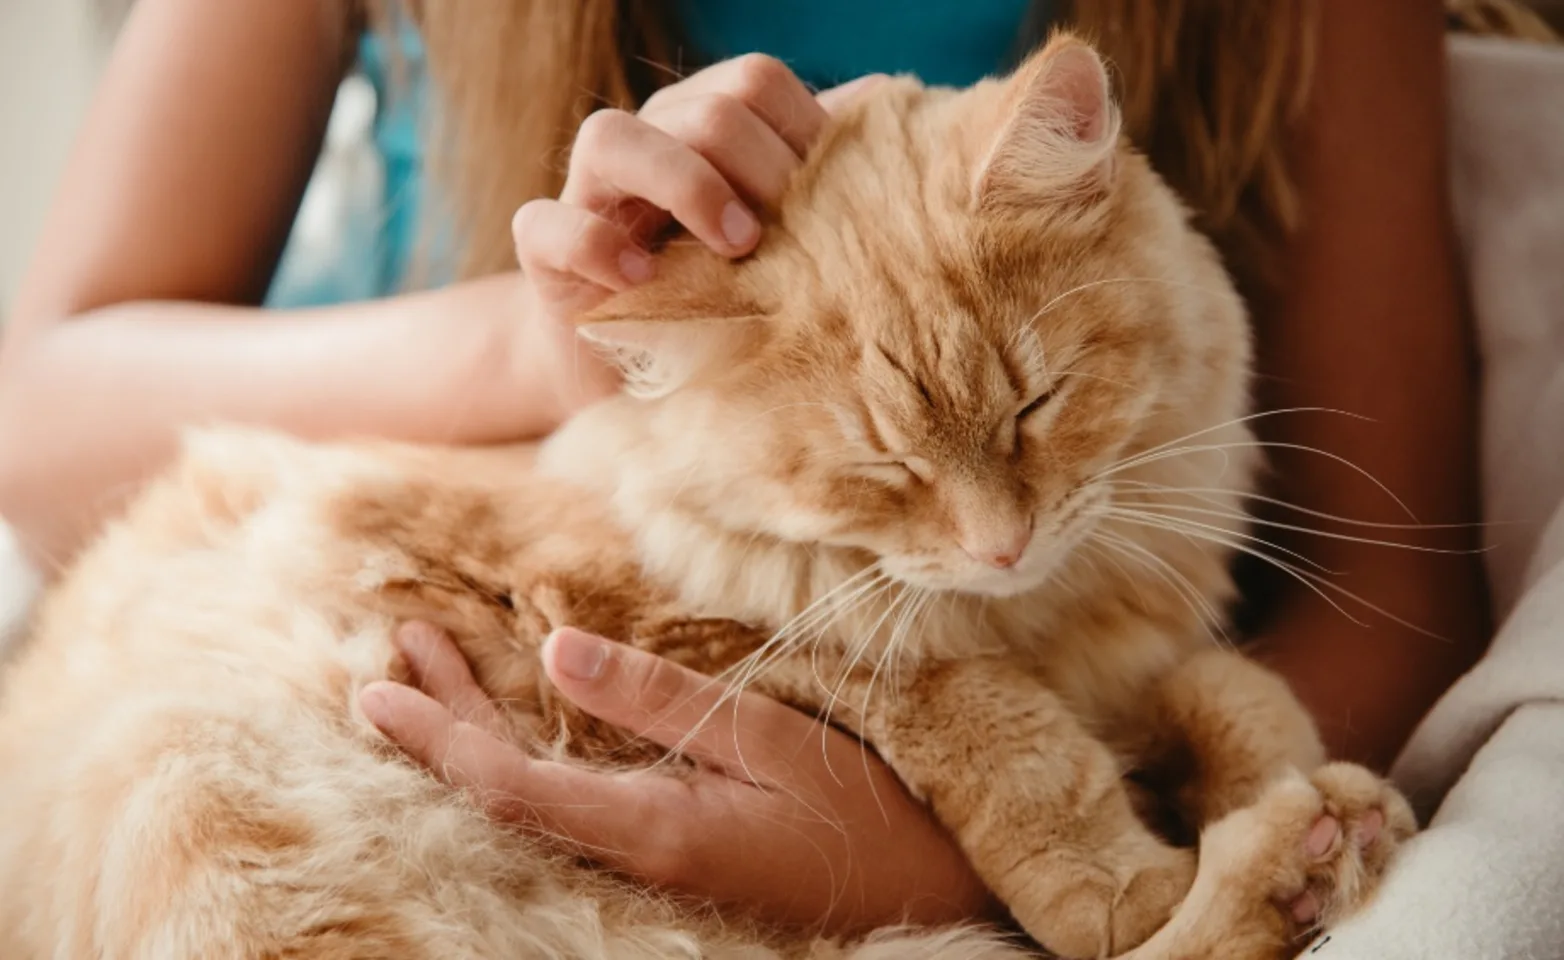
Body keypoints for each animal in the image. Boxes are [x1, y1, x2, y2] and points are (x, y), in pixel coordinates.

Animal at [0, 33, 1420, 956]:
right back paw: (1287, 871)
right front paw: (1122, 875)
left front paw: (1287, 777)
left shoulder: (1128, 650)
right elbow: (1001, 732)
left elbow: (1227, 689)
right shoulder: (675, 623)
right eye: (887, 468)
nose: (1002, 544)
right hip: (198, 783)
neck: (1043, 615)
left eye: (1035, 406)